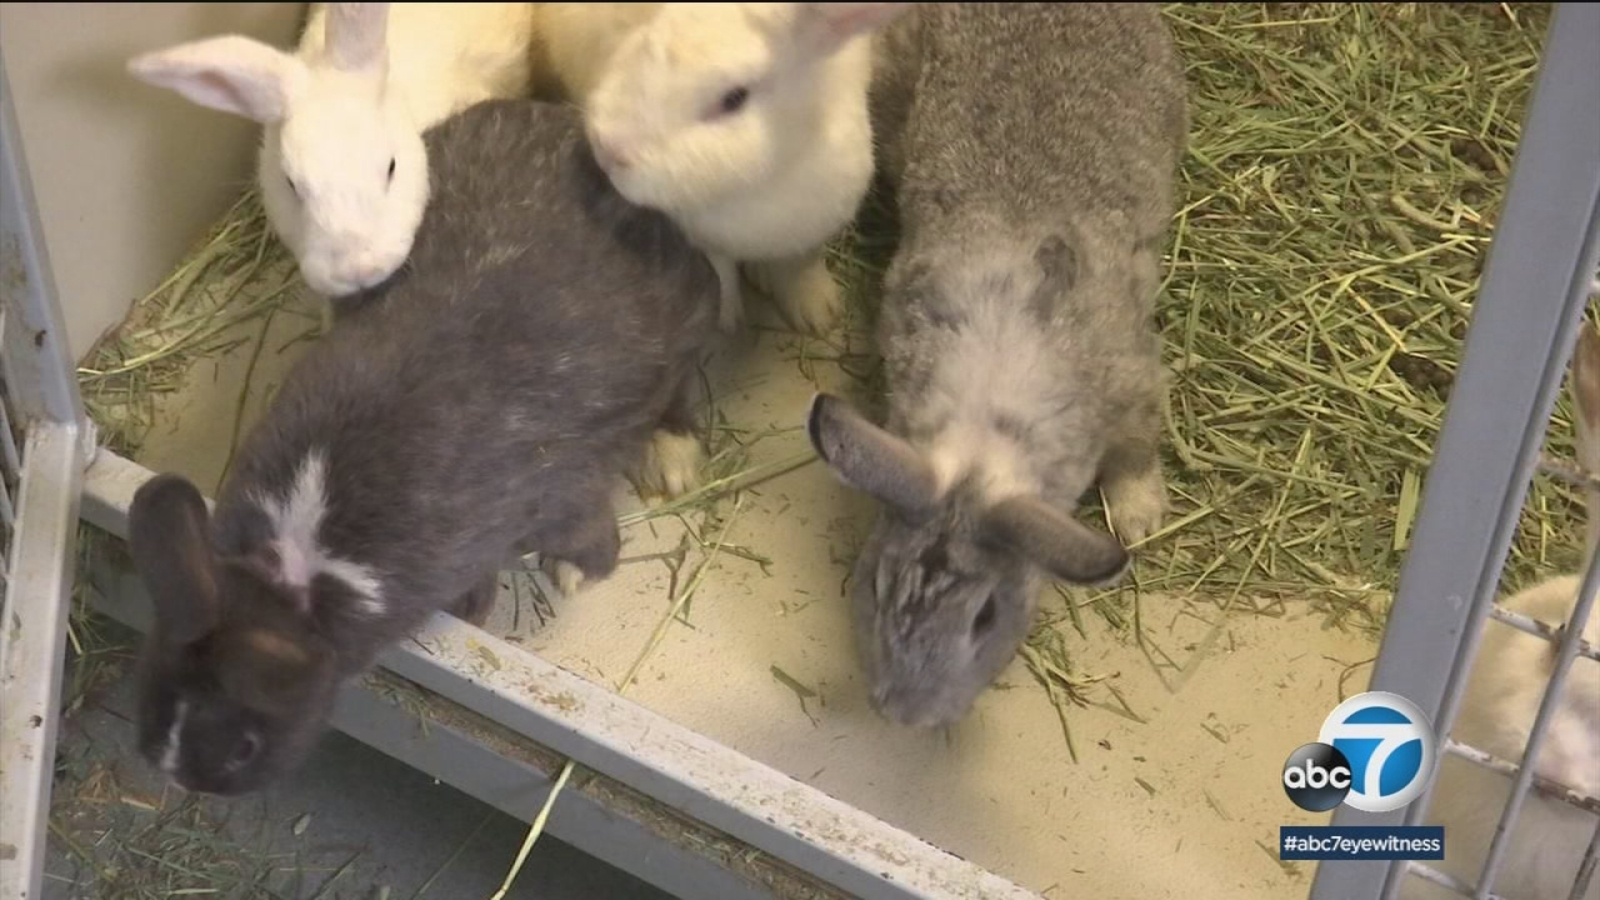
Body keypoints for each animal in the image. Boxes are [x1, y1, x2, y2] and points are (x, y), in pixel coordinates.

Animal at [576, 3, 915, 334]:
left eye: (734, 99)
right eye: (646, 42)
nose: (607, 147)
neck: (751, 189)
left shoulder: (812, 230)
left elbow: (800, 266)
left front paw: (817, 312)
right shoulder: (703, 238)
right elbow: (723, 273)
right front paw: (727, 320)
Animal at [812, 3, 1190, 723]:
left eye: (985, 616)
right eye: (876, 586)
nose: (901, 715)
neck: (987, 434)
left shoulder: (1137, 385)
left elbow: (1136, 453)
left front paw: (1139, 520)